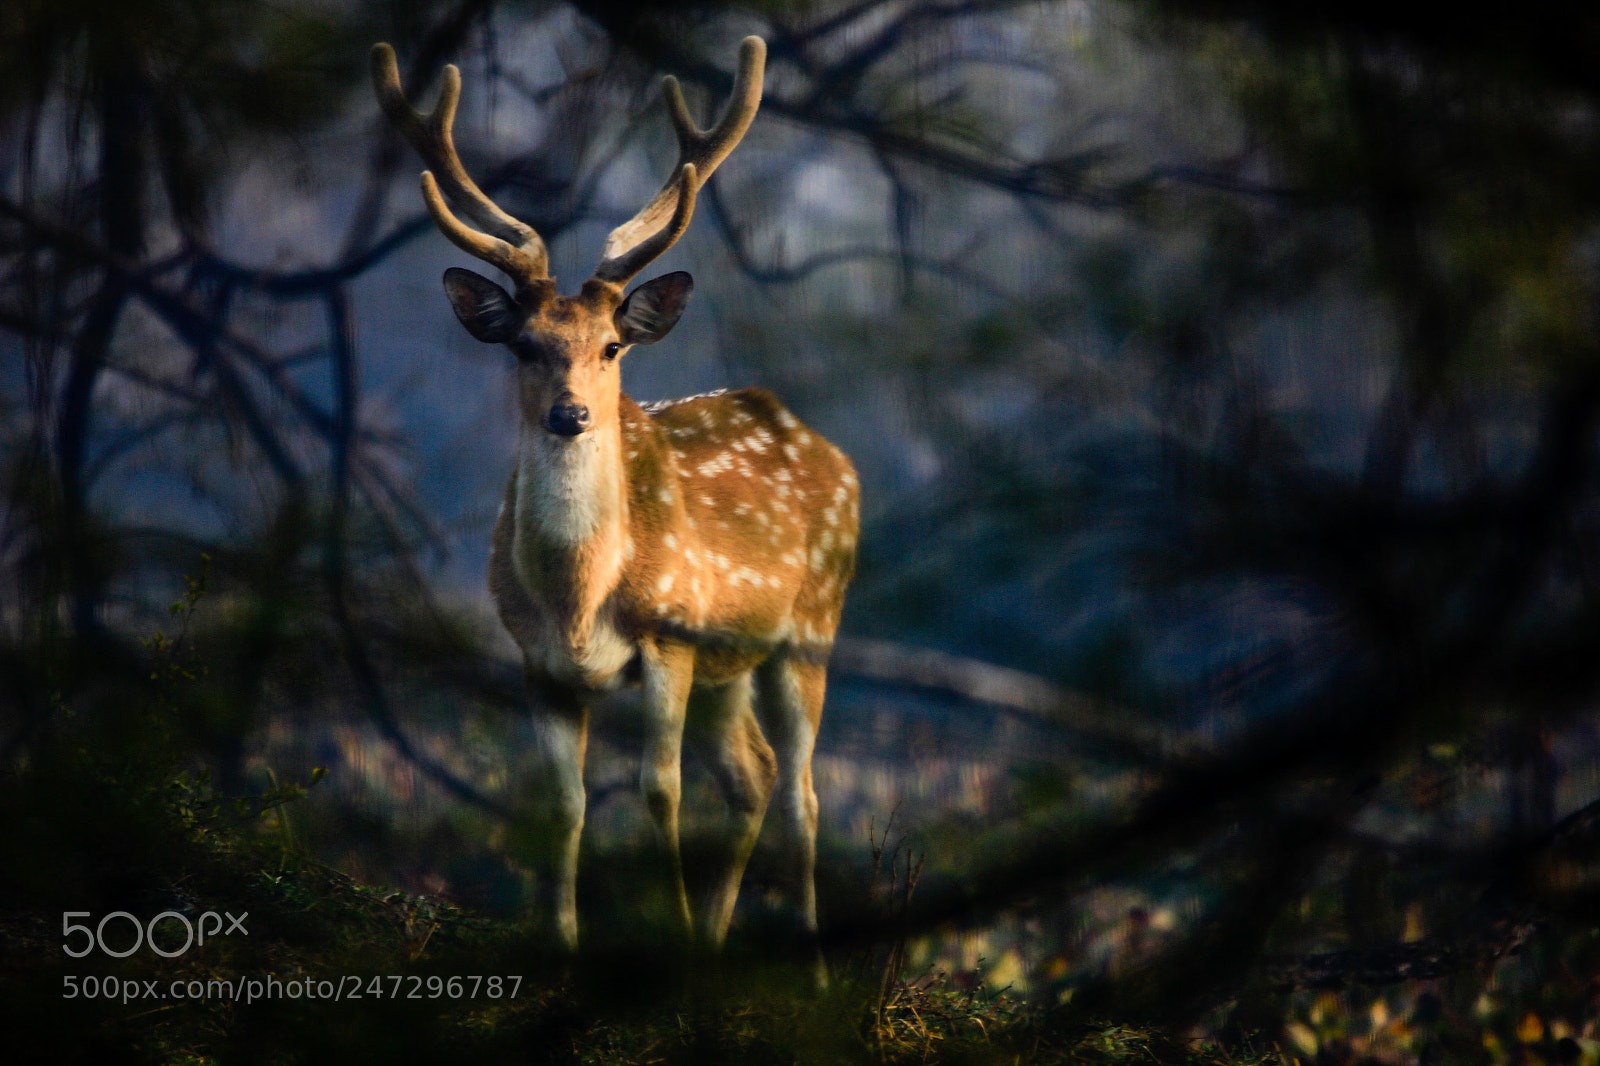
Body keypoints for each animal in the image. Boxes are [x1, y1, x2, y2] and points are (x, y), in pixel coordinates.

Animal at [370, 36, 857, 975]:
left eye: (609, 347)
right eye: (525, 345)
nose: (572, 414)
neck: (580, 598)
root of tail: (825, 443)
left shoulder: (670, 633)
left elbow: (658, 790)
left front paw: (666, 934)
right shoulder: (537, 663)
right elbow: (563, 804)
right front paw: (561, 942)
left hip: (810, 626)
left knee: (803, 792)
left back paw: (813, 970)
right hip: (730, 662)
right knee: (754, 774)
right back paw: (717, 939)